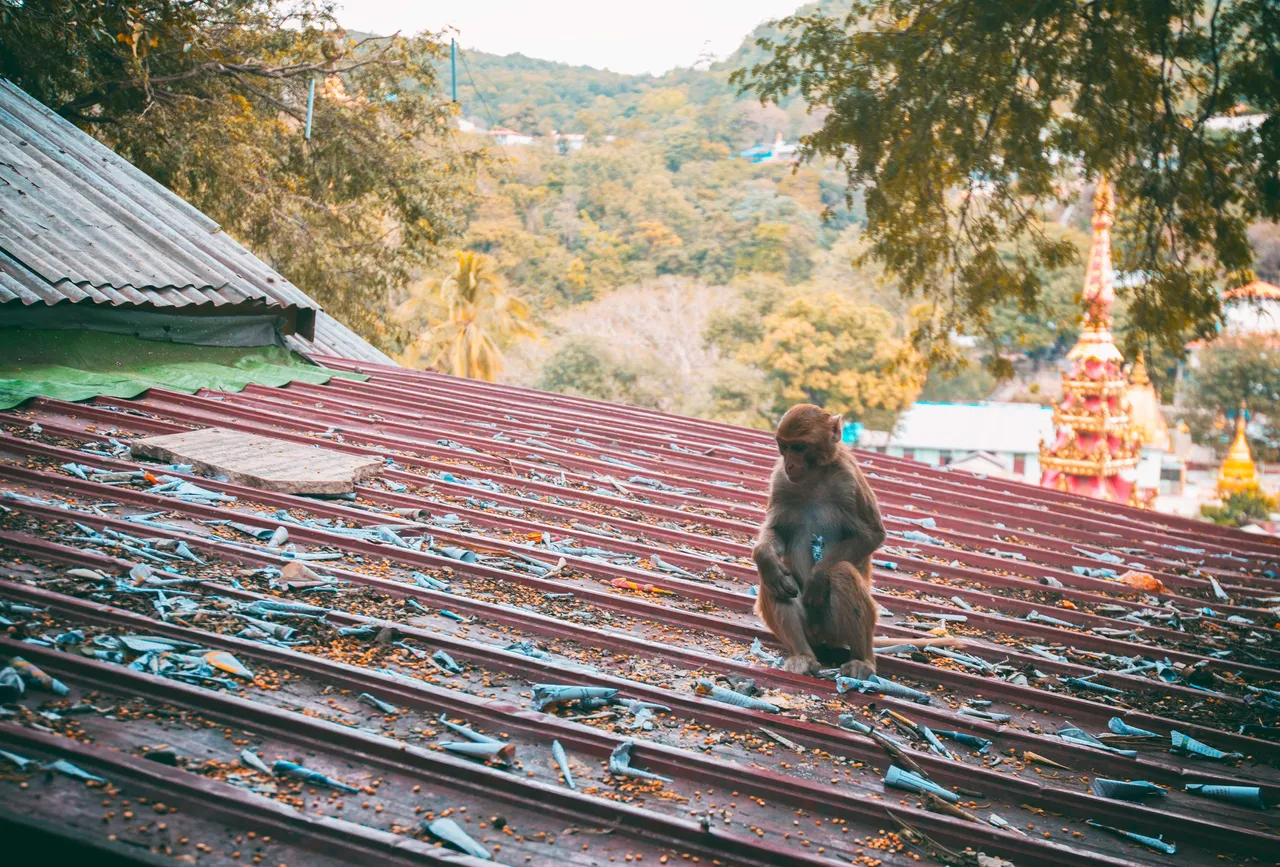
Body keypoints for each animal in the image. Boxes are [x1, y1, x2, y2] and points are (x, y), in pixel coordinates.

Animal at [752, 402, 885, 681]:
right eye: (784, 446)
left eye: (799, 447)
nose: (790, 464)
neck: (815, 476)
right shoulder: (780, 480)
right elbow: (777, 533)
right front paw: (764, 556)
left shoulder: (850, 480)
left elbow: (871, 534)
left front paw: (817, 576)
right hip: (809, 631)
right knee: (773, 581)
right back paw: (803, 656)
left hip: (834, 630)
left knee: (842, 572)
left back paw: (862, 661)